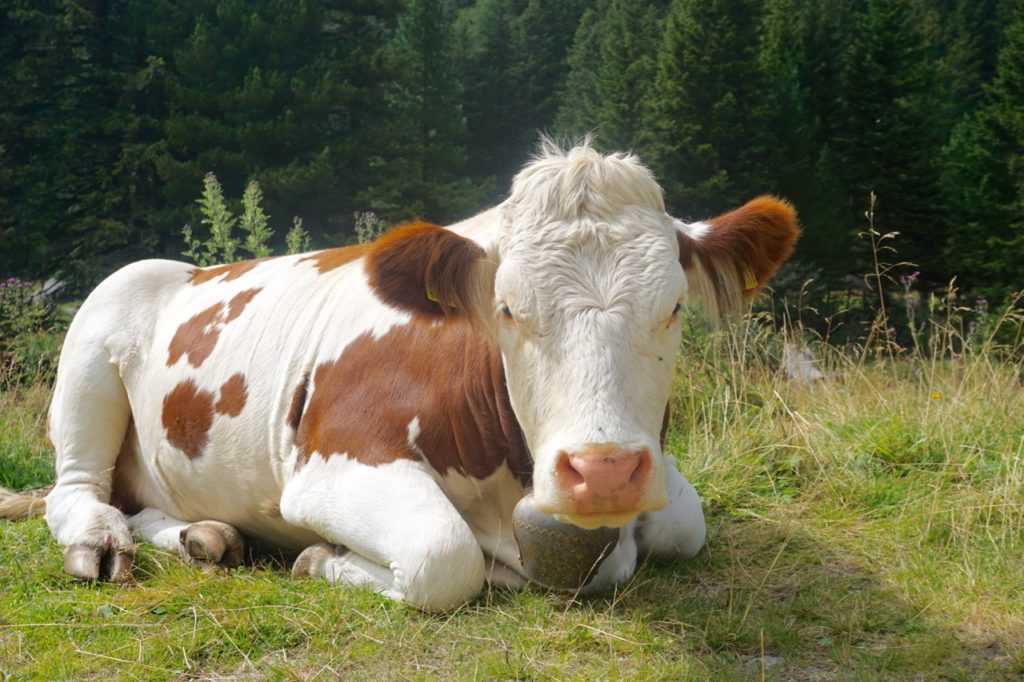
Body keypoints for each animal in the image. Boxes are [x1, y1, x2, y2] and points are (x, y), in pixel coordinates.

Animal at [0, 140, 798, 606]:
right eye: (507, 308)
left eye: (674, 307)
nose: (602, 472)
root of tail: (180, 266)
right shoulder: (332, 463)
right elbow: (442, 556)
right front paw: (321, 559)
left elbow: (683, 526)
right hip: (91, 353)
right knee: (76, 491)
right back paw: (100, 541)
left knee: (139, 502)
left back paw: (208, 537)